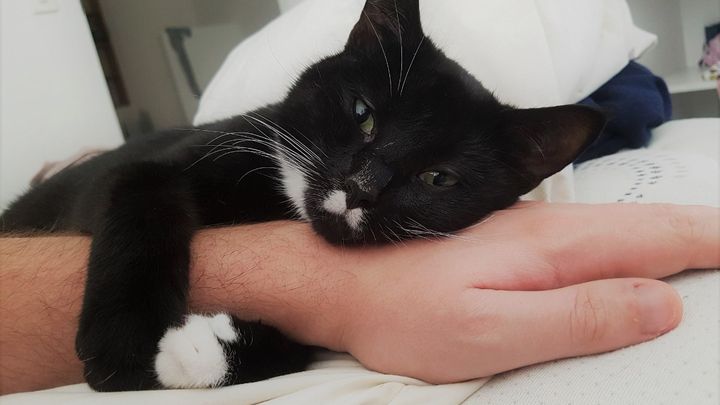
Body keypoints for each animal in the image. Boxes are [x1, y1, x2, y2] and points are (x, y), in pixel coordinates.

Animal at [0, 0, 604, 392]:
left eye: (438, 178)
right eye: (362, 113)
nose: (360, 186)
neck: (279, 199)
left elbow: (307, 345)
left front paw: (199, 353)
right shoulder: (143, 169)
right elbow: (144, 197)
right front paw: (125, 341)